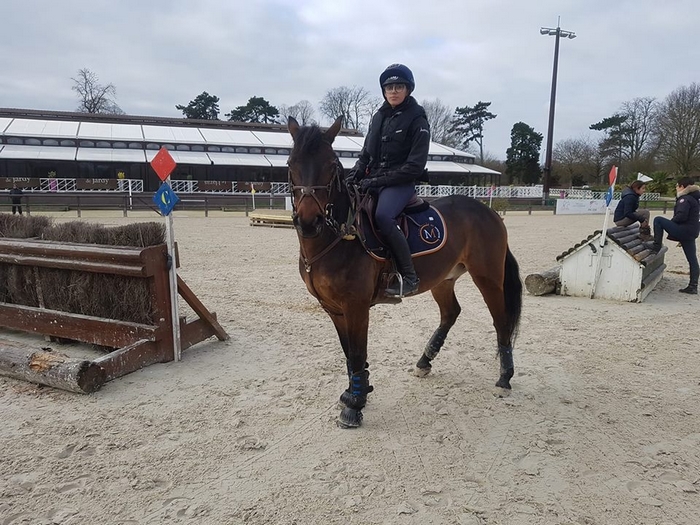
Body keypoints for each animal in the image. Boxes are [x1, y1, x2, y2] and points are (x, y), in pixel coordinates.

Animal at [288, 116, 524, 428]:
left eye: (332, 166)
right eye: (291, 163)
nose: (308, 222)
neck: (335, 238)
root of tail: (488, 211)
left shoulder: (355, 306)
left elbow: (357, 353)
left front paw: (355, 405)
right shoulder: (333, 309)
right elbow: (348, 353)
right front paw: (356, 391)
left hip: (488, 278)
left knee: (501, 321)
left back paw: (505, 376)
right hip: (443, 279)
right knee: (451, 313)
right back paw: (425, 361)